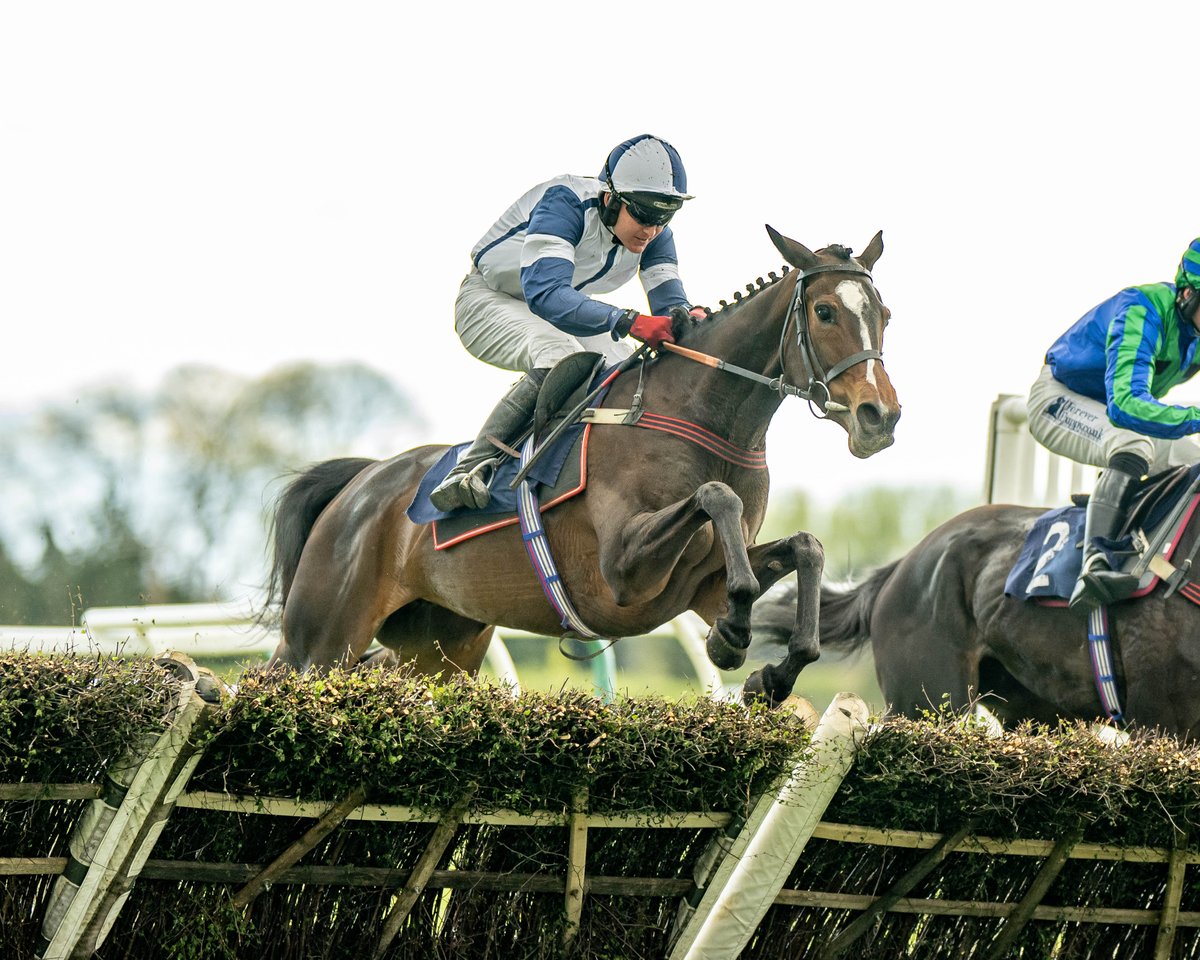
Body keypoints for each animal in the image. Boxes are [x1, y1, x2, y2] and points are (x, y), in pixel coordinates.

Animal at [262, 225, 902, 705]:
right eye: (824, 311)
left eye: (886, 314)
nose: (880, 416)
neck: (701, 417)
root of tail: (362, 482)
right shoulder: (622, 569)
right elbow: (716, 496)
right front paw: (732, 636)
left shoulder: (702, 582)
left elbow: (806, 548)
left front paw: (769, 668)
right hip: (320, 640)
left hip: (441, 648)